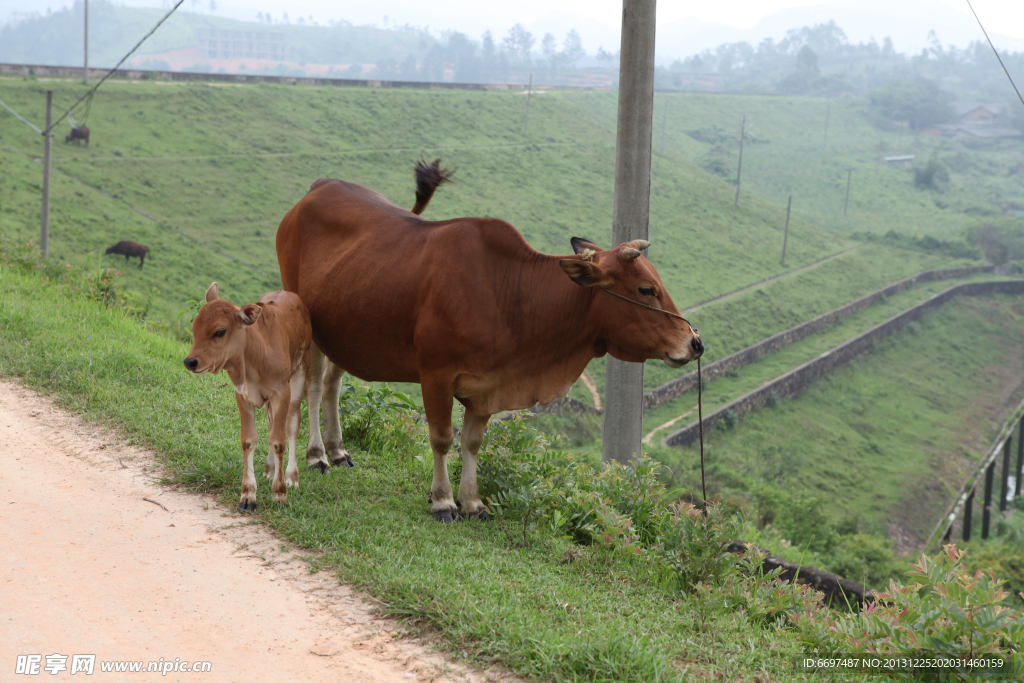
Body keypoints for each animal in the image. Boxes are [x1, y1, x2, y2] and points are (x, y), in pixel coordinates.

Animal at [183, 282, 311, 511]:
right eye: (195, 326)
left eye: (220, 331)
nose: (190, 361)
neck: (254, 358)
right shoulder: (242, 395)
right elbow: (249, 440)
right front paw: (248, 494)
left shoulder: (282, 393)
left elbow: (279, 441)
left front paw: (279, 494)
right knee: (271, 423)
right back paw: (270, 470)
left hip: (301, 372)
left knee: (292, 423)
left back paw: (291, 476)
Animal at [274, 161, 704, 524]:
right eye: (646, 289)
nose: (695, 343)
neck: (509, 295)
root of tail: (321, 185)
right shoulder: (436, 375)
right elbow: (442, 439)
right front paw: (443, 501)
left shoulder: (487, 386)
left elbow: (473, 442)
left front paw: (473, 502)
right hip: (309, 325)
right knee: (314, 388)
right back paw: (316, 456)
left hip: (344, 330)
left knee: (332, 385)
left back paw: (338, 450)